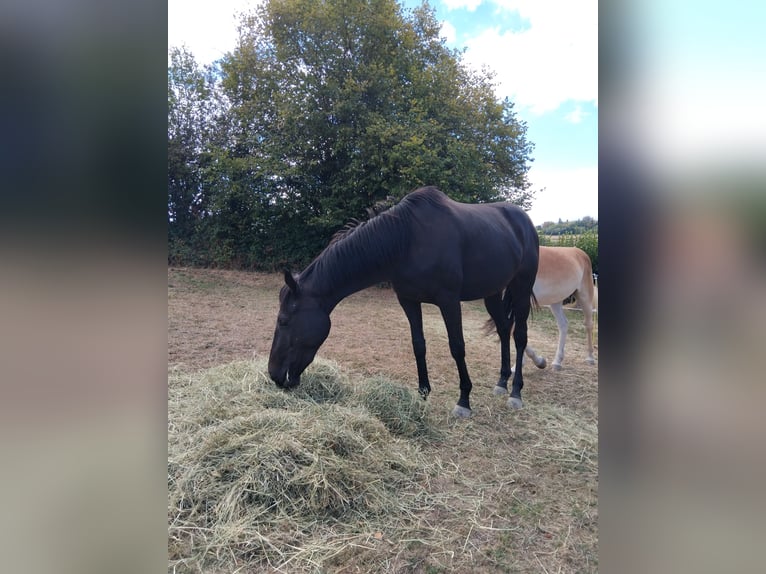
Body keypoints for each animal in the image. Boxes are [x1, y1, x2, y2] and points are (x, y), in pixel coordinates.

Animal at [268, 186, 539, 417]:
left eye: (284, 321)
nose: (274, 375)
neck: (407, 240)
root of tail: (524, 221)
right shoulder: (408, 301)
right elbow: (418, 345)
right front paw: (422, 393)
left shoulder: (449, 301)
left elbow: (457, 347)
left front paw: (463, 401)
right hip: (492, 292)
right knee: (504, 329)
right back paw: (501, 382)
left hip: (521, 287)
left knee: (520, 336)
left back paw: (516, 392)